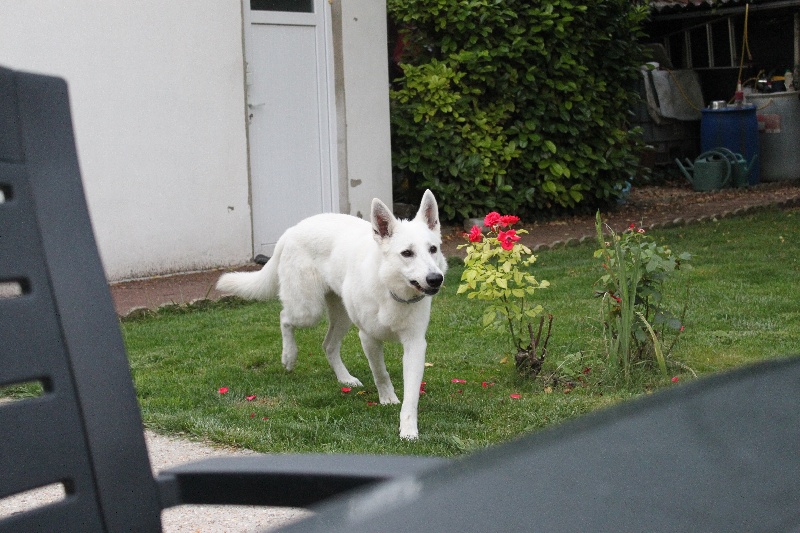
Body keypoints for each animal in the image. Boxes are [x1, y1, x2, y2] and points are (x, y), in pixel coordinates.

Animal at [216, 189, 446, 438]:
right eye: (407, 253)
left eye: (433, 249)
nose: (436, 279)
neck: (390, 290)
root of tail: (292, 230)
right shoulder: (368, 338)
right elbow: (380, 373)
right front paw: (387, 398)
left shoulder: (415, 344)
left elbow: (411, 394)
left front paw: (408, 429)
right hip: (308, 311)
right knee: (284, 318)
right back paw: (289, 356)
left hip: (342, 317)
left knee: (328, 346)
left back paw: (345, 378)